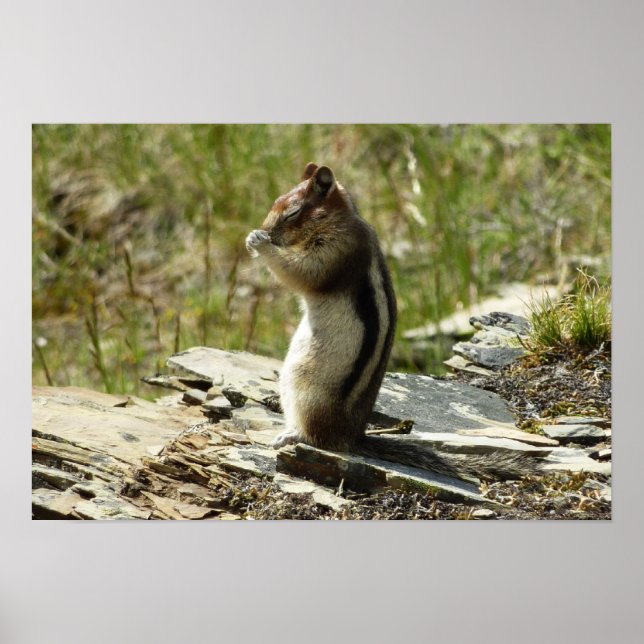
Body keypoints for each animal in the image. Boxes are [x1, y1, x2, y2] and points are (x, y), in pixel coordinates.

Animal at [246, 163, 538, 481]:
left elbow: (302, 272)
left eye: (292, 213)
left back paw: (291, 435)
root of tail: (352, 437)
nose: (267, 230)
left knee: (315, 437)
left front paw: (260, 242)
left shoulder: (336, 250)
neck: (339, 220)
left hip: (304, 387)